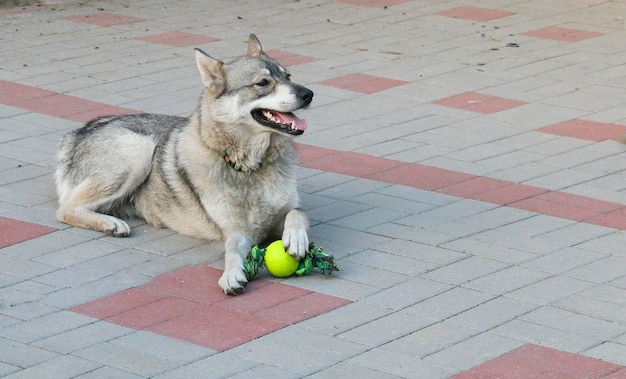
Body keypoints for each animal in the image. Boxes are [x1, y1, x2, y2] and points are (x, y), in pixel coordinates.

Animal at [54, 34, 312, 296]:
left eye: (288, 76)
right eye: (262, 82)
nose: (308, 93)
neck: (250, 168)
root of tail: (79, 131)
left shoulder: (286, 211)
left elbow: (296, 213)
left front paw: (296, 239)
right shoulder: (235, 231)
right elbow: (231, 253)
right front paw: (231, 275)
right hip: (139, 149)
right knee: (65, 209)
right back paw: (110, 224)